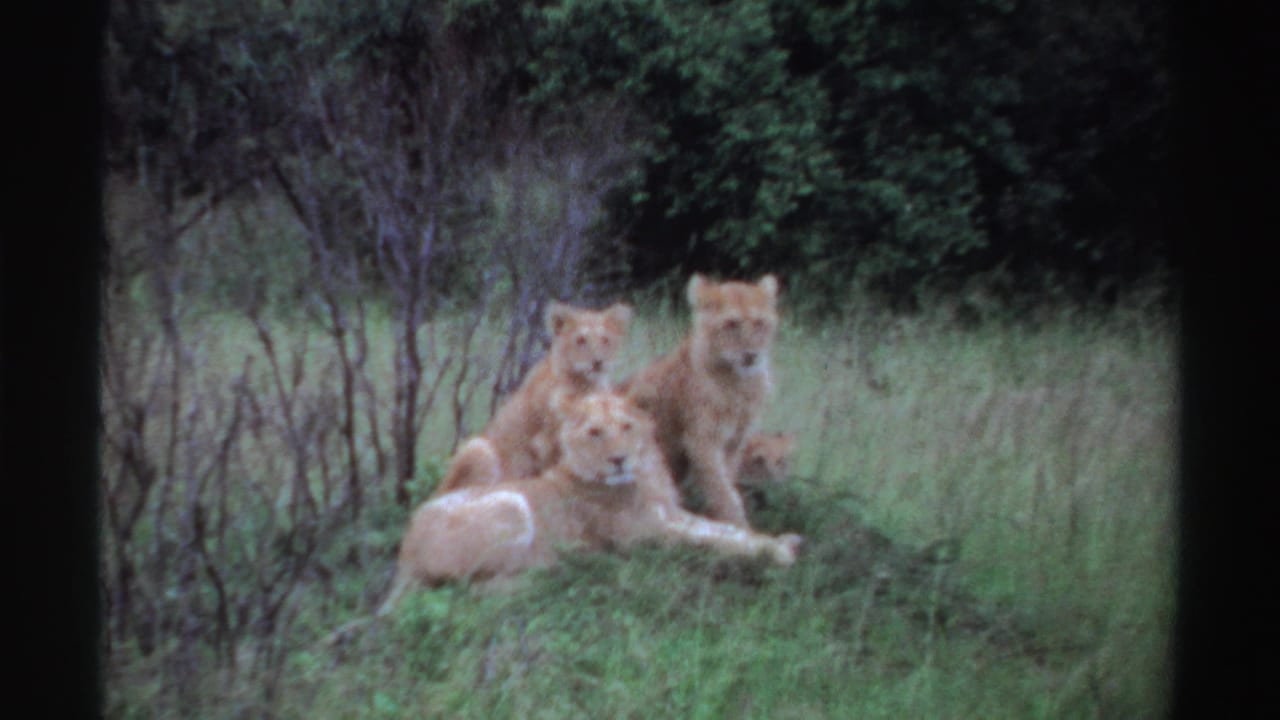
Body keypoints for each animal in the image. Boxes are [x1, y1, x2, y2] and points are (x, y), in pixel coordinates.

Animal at [378, 391, 802, 614]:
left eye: (627, 427)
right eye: (595, 433)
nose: (619, 459)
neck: (644, 474)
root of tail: (404, 553)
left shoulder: (670, 513)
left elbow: (723, 529)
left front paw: (780, 541)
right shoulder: (647, 535)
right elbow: (712, 540)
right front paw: (778, 553)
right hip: (510, 502)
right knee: (469, 591)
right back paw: (561, 570)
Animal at [430, 301, 632, 498]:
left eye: (605, 340)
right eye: (581, 340)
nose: (598, 362)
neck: (586, 383)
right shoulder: (546, 442)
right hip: (478, 449)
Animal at [619, 274, 780, 528]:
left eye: (759, 323)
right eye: (731, 324)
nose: (751, 355)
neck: (739, 384)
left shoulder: (735, 443)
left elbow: (727, 486)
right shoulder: (702, 441)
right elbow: (724, 493)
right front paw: (739, 527)